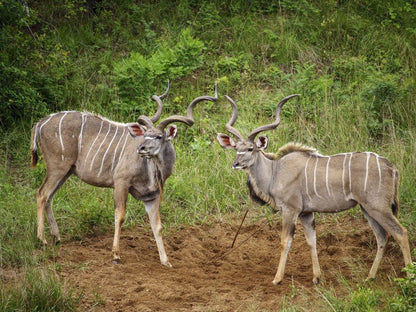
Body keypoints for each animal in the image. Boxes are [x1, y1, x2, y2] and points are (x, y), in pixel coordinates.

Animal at [30, 83, 218, 266]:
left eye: (158, 136)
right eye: (146, 134)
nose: (141, 148)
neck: (152, 169)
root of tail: (40, 123)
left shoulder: (151, 196)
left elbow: (157, 225)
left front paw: (166, 261)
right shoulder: (121, 182)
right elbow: (119, 216)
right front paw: (116, 255)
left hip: (66, 171)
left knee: (49, 197)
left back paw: (56, 238)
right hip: (58, 167)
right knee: (41, 194)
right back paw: (42, 240)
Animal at [218, 94, 412, 286]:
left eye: (250, 148)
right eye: (236, 148)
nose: (236, 164)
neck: (275, 171)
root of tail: (392, 168)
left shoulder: (291, 210)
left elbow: (285, 241)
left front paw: (277, 279)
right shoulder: (306, 213)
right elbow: (312, 241)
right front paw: (316, 277)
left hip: (378, 207)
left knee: (400, 232)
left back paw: (409, 277)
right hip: (367, 208)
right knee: (382, 237)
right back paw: (370, 276)